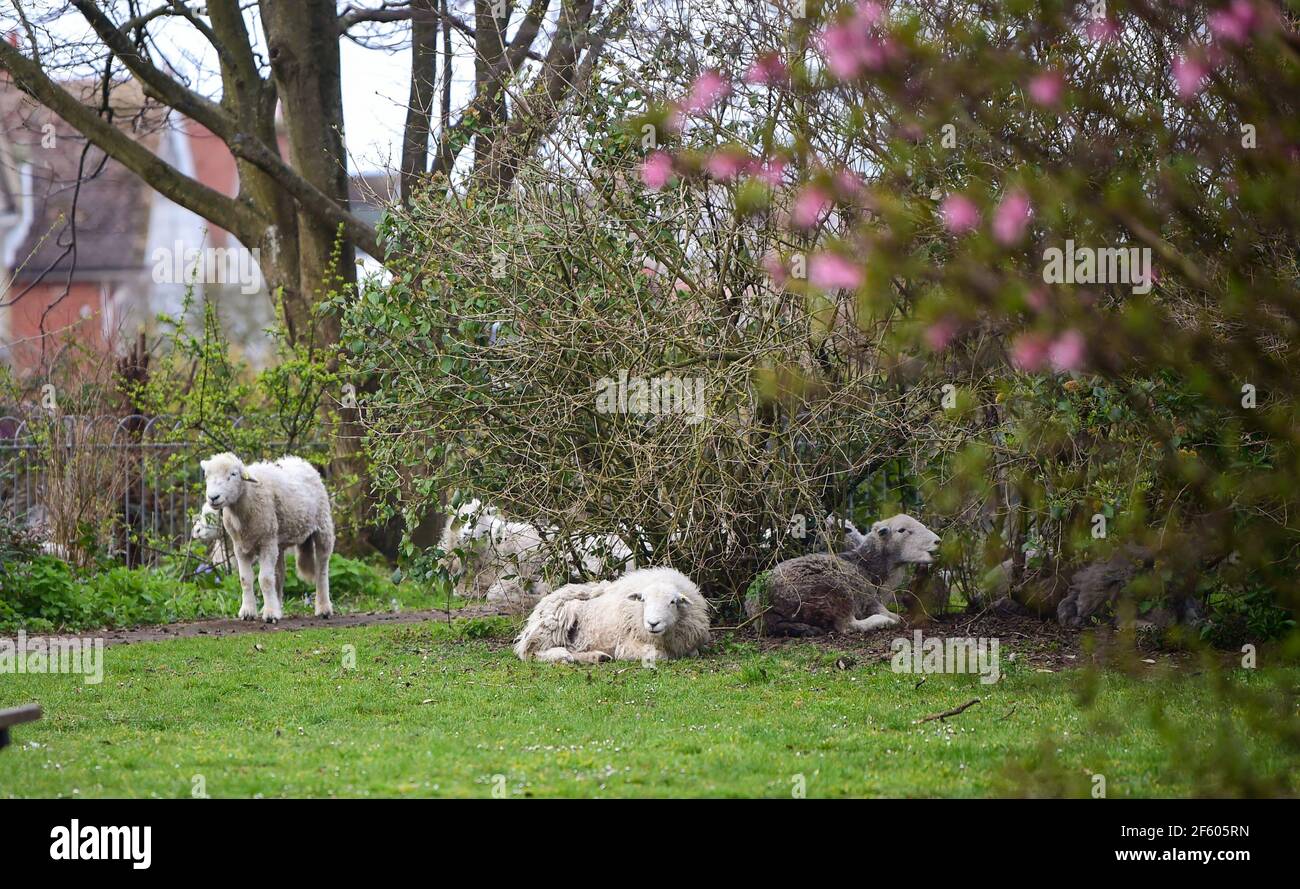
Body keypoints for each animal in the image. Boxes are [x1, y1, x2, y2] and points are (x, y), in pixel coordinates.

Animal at [200, 454, 335, 621]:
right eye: (207, 476)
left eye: (233, 474)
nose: (213, 497)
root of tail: (299, 460)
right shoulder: (240, 547)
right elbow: (245, 580)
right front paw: (248, 612)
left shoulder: (266, 542)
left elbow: (264, 579)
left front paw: (270, 614)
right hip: (278, 541)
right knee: (279, 574)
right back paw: (276, 606)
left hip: (322, 524)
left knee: (322, 569)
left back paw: (323, 608)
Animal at [514, 566, 712, 662]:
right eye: (643, 600)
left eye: (672, 602)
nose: (652, 623)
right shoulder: (627, 645)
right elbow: (658, 656)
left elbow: (694, 653)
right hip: (553, 623)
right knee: (530, 652)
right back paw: (562, 656)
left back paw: (595, 657)